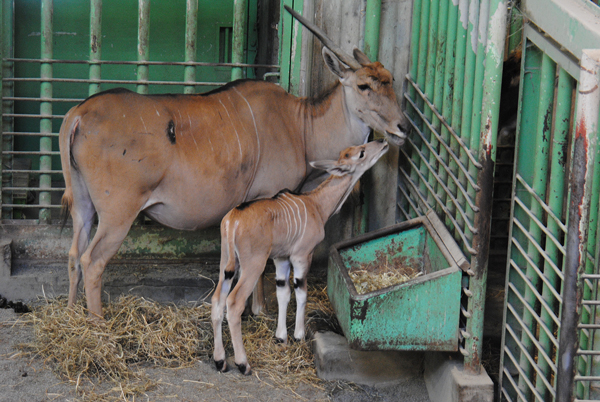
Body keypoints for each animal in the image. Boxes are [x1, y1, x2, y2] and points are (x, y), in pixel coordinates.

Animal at [59, 6, 408, 318]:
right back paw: (97, 323)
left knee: (74, 253)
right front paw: (260, 310)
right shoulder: (267, 199)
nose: (402, 127)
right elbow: (263, 264)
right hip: (118, 213)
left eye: (391, 80)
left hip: (83, 204)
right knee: (93, 261)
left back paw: (71, 312)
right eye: (363, 85)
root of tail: (78, 115)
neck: (300, 125)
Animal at [211, 140, 390, 376]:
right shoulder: (302, 255)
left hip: (228, 263)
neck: (316, 204)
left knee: (217, 299)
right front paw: (298, 335)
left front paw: (281, 338)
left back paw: (220, 360)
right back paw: (243, 364)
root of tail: (233, 221)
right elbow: (301, 293)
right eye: (361, 153)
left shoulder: (281, 258)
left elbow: (283, 293)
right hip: (253, 264)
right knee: (233, 303)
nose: (382, 142)